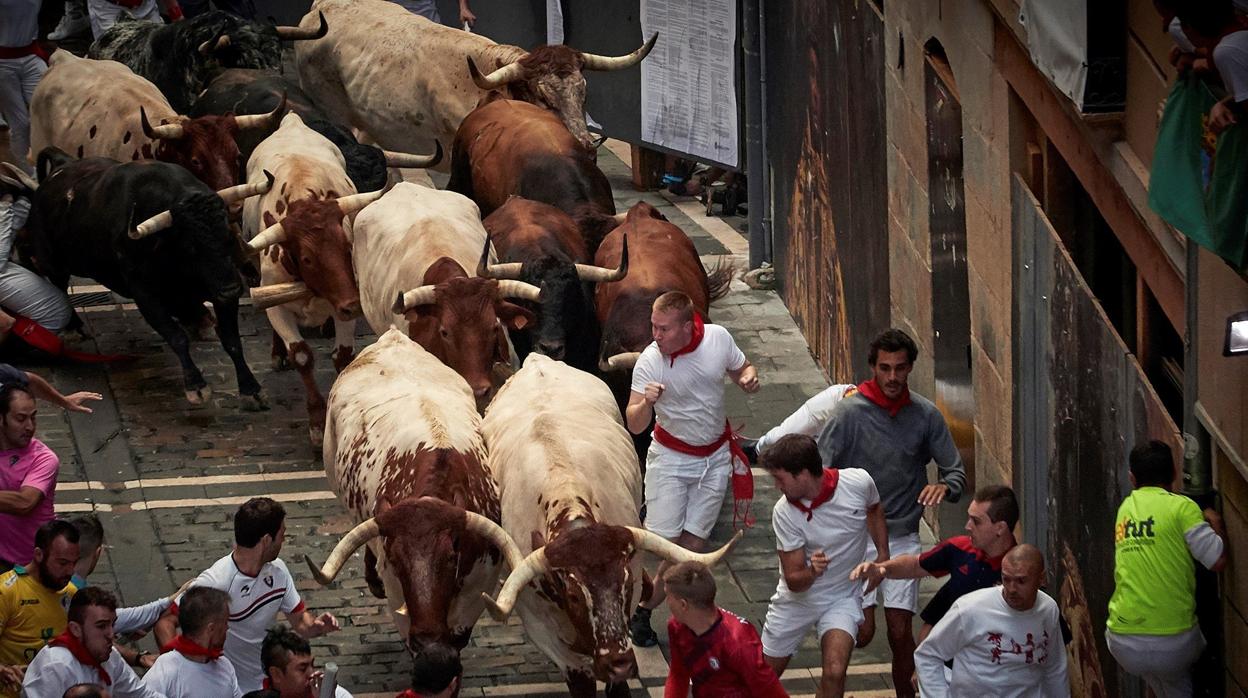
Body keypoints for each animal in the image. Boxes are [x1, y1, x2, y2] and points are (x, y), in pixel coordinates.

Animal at [243, 113, 439, 442]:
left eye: (347, 246)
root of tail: (292, 120)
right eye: (307, 258)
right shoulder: (276, 305)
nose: (353, 305)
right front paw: (316, 422)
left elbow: (343, 356)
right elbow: (302, 356)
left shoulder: (343, 303)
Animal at [304, 329, 524, 674]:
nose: (430, 638)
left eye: (451, 556)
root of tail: (393, 337)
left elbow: (458, 636)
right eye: (395, 559)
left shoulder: (480, 582)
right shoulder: (399, 593)